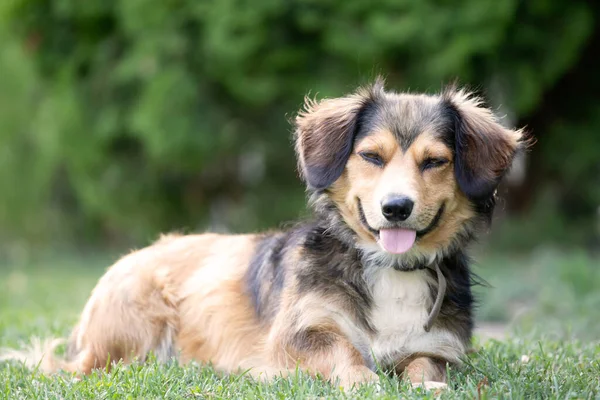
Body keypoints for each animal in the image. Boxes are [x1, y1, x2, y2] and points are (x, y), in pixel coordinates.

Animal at [0, 79, 524, 390]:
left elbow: (426, 366)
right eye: (372, 156)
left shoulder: (437, 345)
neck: (386, 268)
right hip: (128, 329)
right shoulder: (296, 336)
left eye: (435, 161)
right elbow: (343, 352)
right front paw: (364, 381)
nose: (396, 209)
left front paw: (427, 386)